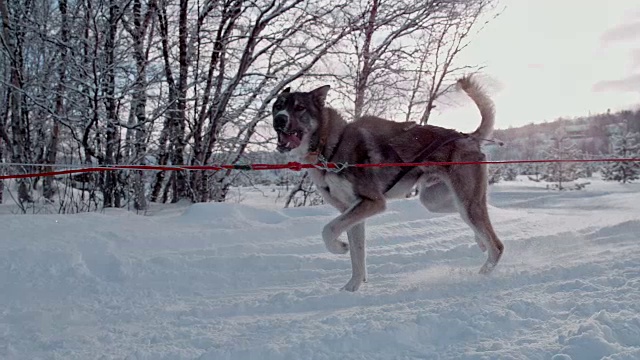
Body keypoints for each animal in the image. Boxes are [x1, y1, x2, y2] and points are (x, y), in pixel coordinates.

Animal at [270, 76, 504, 292]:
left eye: (299, 107)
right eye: (278, 106)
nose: (279, 120)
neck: (330, 146)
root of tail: (468, 137)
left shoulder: (372, 202)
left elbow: (328, 230)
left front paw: (340, 247)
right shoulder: (351, 210)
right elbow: (357, 255)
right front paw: (352, 288)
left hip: (464, 202)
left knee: (496, 246)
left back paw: (482, 273)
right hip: (434, 200)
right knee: (472, 219)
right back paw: (479, 241)